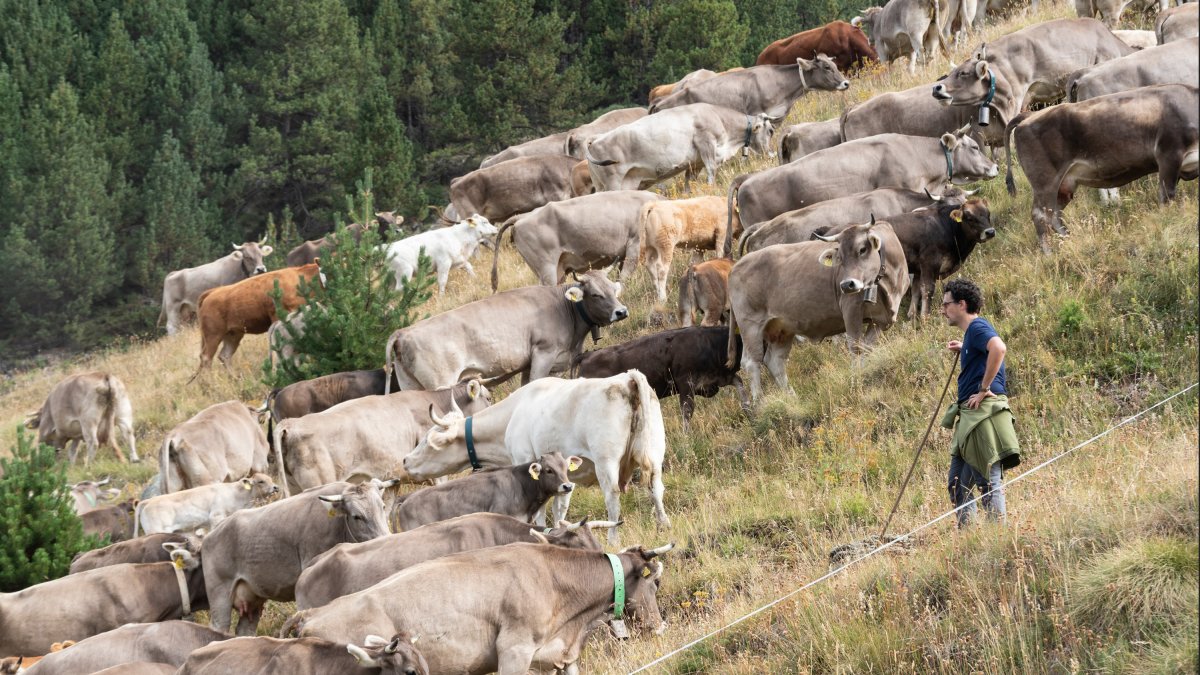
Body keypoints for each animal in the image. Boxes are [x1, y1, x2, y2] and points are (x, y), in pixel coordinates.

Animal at [134, 470, 278, 533]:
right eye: (261, 481)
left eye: (270, 479)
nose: (276, 487)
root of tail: (148, 501)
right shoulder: (216, 516)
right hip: (155, 530)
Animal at [188, 258, 321, 379]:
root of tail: (212, 292)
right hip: (213, 335)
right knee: (206, 358)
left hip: (233, 334)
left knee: (224, 355)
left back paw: (236, 379)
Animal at [400, 367, 667, 540]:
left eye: (428, 442)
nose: (405, 460)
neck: (513, 414)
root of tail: (627, 378)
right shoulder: (563, 477)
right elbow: (560, 507)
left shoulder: (525, 460)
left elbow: (540, 511)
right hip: (655, 453)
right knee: (656, 487)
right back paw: (663, 525)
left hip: (606, 461)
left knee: (612, 498)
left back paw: (613, 539)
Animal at [573, 324, 748, 427]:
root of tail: (587, 356)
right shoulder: (686, 384)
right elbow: (687, 411)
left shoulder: (718, 379)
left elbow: (740, 385)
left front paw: (749, 412)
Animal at [729, 220, 907, 398]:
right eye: (840, 257)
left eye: (862, 249)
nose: (846, 285)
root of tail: (738, 264)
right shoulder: (851, 310)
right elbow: (856, 347)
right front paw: (855, 383)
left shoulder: (880, 320)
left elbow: (867, 348)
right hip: (750, 325)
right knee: (752, 362)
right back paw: (759, 401)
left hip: (781, 329)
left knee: (775, 361)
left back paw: (792, 398)